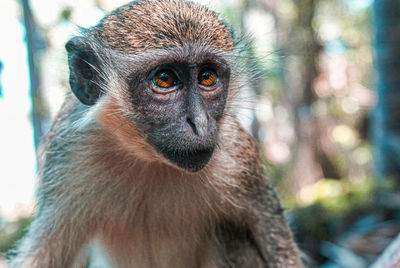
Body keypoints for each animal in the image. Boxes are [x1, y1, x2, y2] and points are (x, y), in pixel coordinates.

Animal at [7, 0, 304, 268]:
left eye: (207, 77)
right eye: (164, 79)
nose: (199, 122)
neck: (149, 159)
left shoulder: (235, 155)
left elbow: (275, 235)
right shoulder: (67, 155)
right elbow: (42, 257)